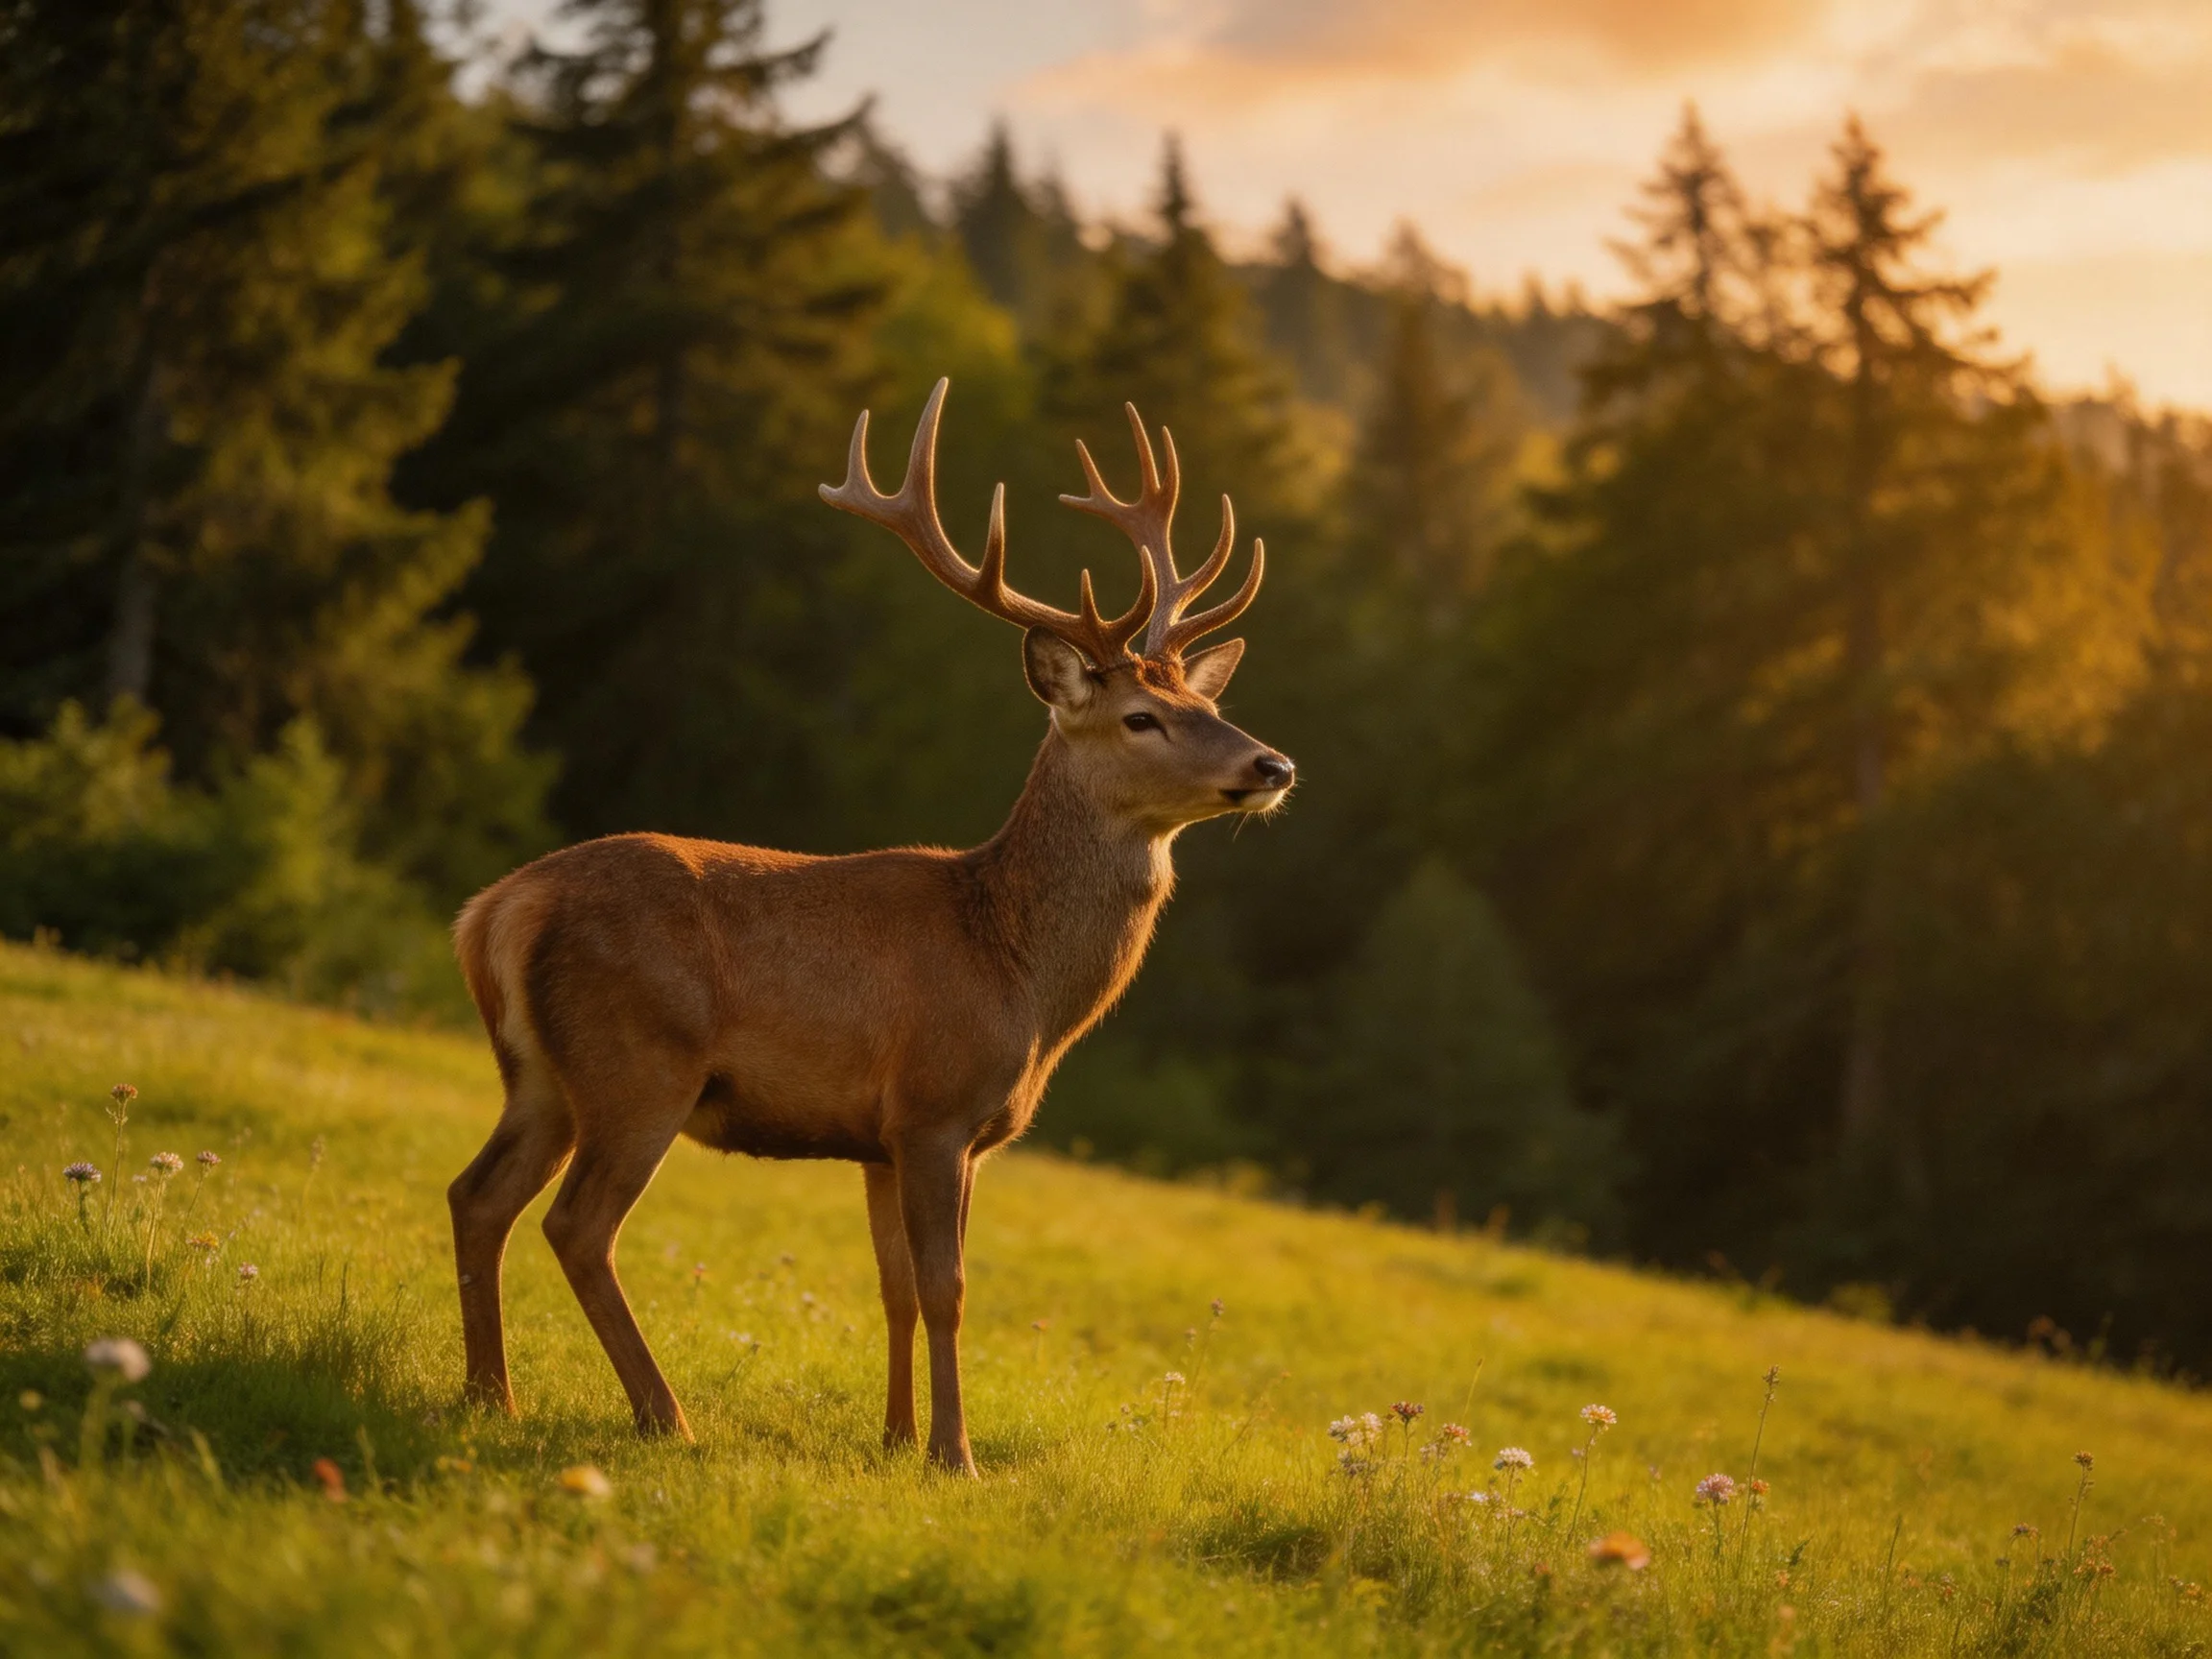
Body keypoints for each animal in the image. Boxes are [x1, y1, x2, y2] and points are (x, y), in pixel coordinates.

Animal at [445, 378, 1293, 1474]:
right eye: (1140, 718)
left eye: (1204, 698)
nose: (1272, 764)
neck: (1019, 974)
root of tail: (496, 910)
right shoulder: (937, 1110)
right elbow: (946, 1288)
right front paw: (955, 1457)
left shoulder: (878, 1139)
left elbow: (892, 1287)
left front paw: (893, 1440)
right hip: (638, 1063)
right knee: (578, 1225)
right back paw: (662, 1415)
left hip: (542, 1077)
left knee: (478, 1195)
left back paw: (489, 1397)